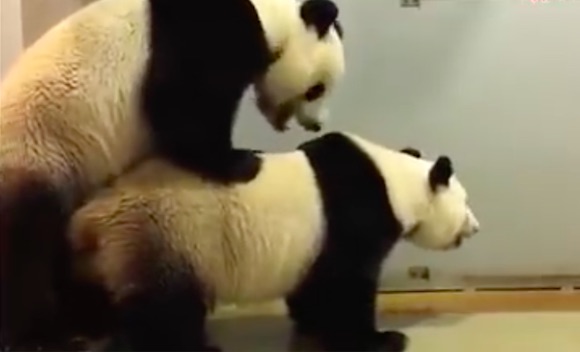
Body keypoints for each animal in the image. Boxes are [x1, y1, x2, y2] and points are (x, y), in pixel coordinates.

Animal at [0, 0, 344, 348]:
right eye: (316, 89)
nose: (317, 125)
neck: (271, 15)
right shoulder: (207, 31)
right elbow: (183, 103)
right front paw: (240, 163)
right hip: (38, 151)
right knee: (27, 245)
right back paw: (43, 332)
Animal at [69, 131, 480, 352]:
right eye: (465, 203)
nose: (476, 228)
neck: (394, 180)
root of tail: (94, 213)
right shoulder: (353, 212)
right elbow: (347, 285)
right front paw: (382, 339)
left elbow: (315, 286)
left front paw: (310, 322)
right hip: (164, 236)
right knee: (165, 312)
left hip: (109, 256)